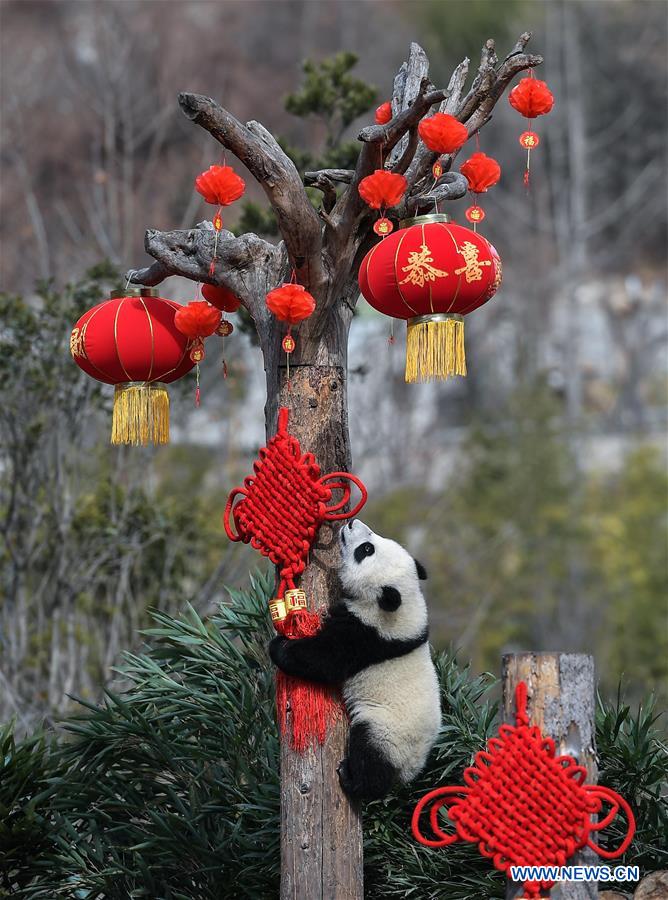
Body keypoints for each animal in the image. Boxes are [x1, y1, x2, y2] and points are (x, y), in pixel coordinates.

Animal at [269, 519, 441, 800]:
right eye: (376, 541)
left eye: (366, 550)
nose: (351, 523)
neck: (402, 605)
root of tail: (411, 771)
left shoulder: (368, 635)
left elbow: (325, 659)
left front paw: (279, 647)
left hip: (386, 730)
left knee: (371, 756)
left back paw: (353, 781)